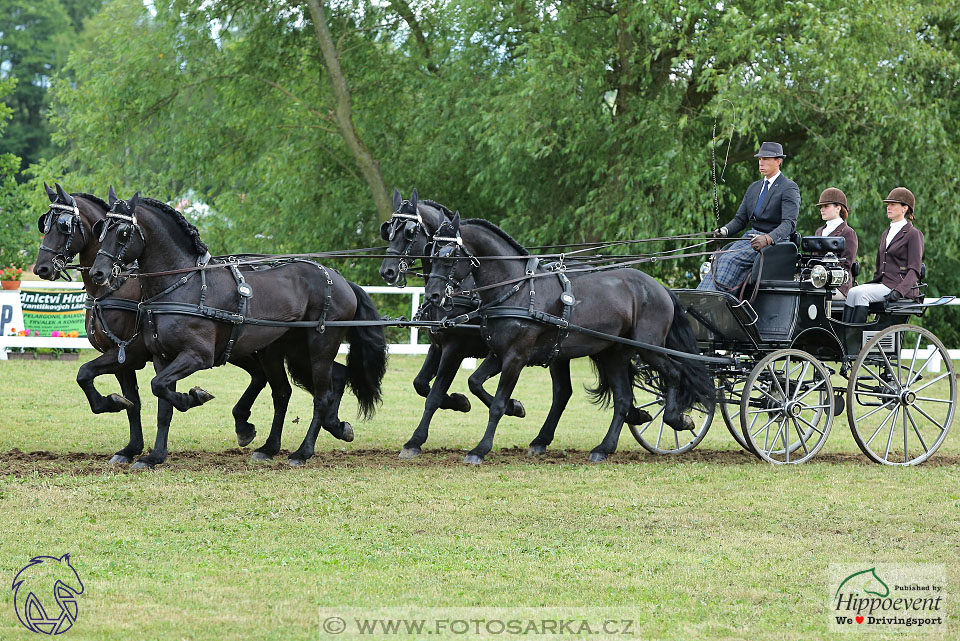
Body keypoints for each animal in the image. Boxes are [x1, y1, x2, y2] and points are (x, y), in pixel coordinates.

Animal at [88, 190, 388, 464]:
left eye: (124, 232)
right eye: (101, 229)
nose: (98, 273)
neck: (184, 285)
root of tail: (340, 279)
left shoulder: (198, 356)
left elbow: (159, 387)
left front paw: (193, 397)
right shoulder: (162, 357)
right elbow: (162, 402)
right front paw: (155, 456)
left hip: (320, 346)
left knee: (321, 396)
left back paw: (303, 452)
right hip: (286, 349)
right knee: (290, 390)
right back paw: (282, 444)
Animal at [426, 216, 712, 464]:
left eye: (449, 255)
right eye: (431, 252)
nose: (432, 295)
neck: (516, 290)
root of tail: (659, 287)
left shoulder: (516, 357)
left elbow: (496, 403)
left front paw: (480, 449)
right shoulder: (498, 353)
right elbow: (475, 382)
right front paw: (515, 407)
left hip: (649, 349)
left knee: (675, 374)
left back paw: (676, 419)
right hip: (615, 354)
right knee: (623, 398)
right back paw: (604, 448)